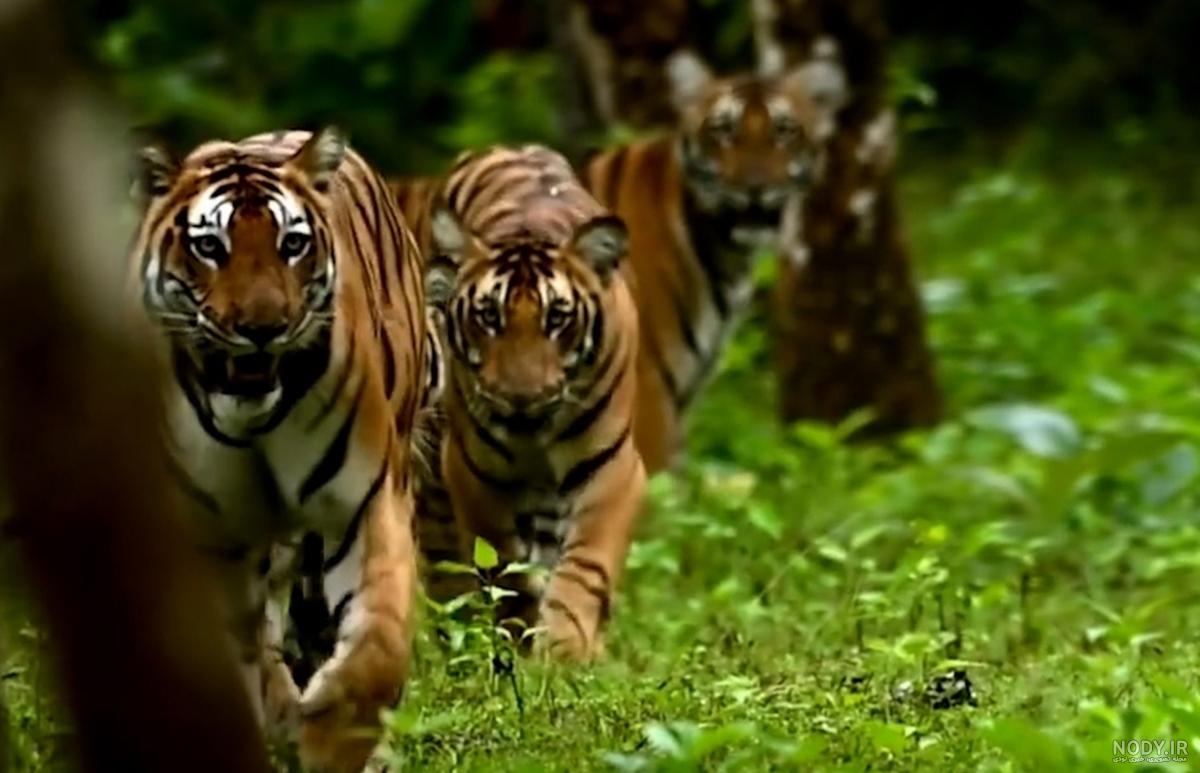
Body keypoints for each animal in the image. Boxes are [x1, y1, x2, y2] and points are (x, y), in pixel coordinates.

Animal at [132, 127, 427, 773]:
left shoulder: (363, 503)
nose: (263, 328)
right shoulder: (209, 535)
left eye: (292, 244)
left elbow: (379, 643)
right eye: (209, 246)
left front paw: (334, 740)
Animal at [397, 145, 645, 661]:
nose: (521, 398)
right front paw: (519, 636)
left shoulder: (615, 469)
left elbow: (586, 565)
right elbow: (503, 565)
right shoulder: (474, 474)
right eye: (489, 317)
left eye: (558, 318)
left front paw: (568, 647)